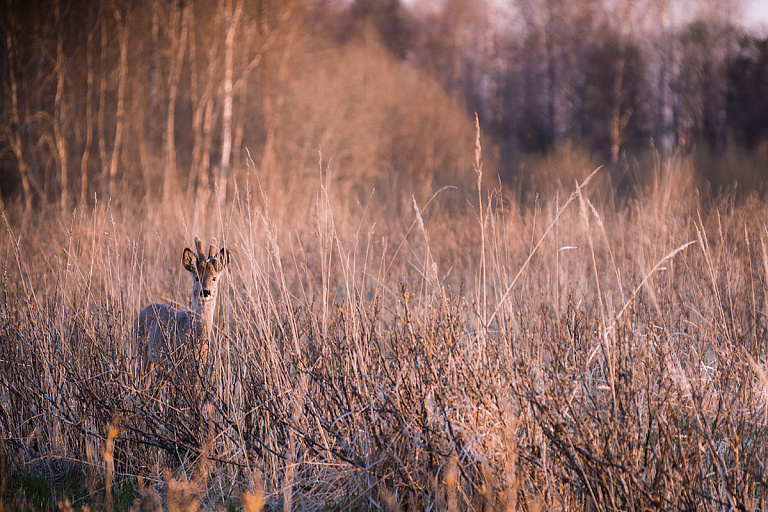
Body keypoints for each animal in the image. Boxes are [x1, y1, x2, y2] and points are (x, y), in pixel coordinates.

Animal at [135, 236, 231, 380]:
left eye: (214, 278)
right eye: (197, 277)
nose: (205, 291)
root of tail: (141, 312)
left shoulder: (198, 367)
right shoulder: (178, 363)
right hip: (141, 351)